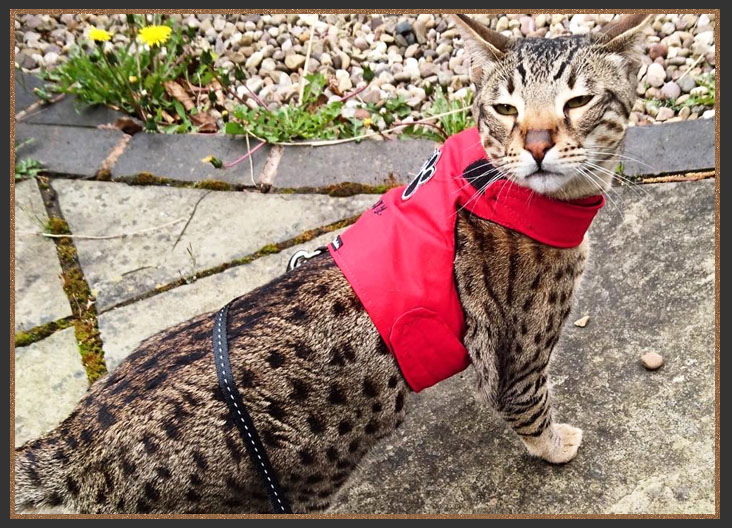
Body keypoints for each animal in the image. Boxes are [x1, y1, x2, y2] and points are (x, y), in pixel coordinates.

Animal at [14, 14, 648, 512]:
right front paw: (558, 446)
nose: (538, 144)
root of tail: (70, 442)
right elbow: (531, 411)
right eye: (504, 108)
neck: (504, 195)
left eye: (578, 101)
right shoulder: (519, 358)